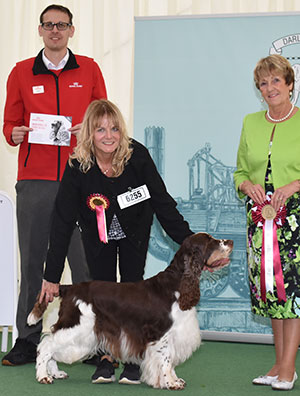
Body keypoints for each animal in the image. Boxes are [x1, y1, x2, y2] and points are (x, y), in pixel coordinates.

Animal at [27, 232, 232, 390]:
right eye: (211, 241)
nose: (230, 241)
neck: (177, 285)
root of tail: (69, 288)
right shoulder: (161, 334)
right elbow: (166, 360)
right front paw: (170, 383)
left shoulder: (173, 335)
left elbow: (170, 360)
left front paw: (174, 380)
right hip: (77, 327)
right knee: (46, 345)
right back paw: (43, 376)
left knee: (50, 344)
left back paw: (55, 373)